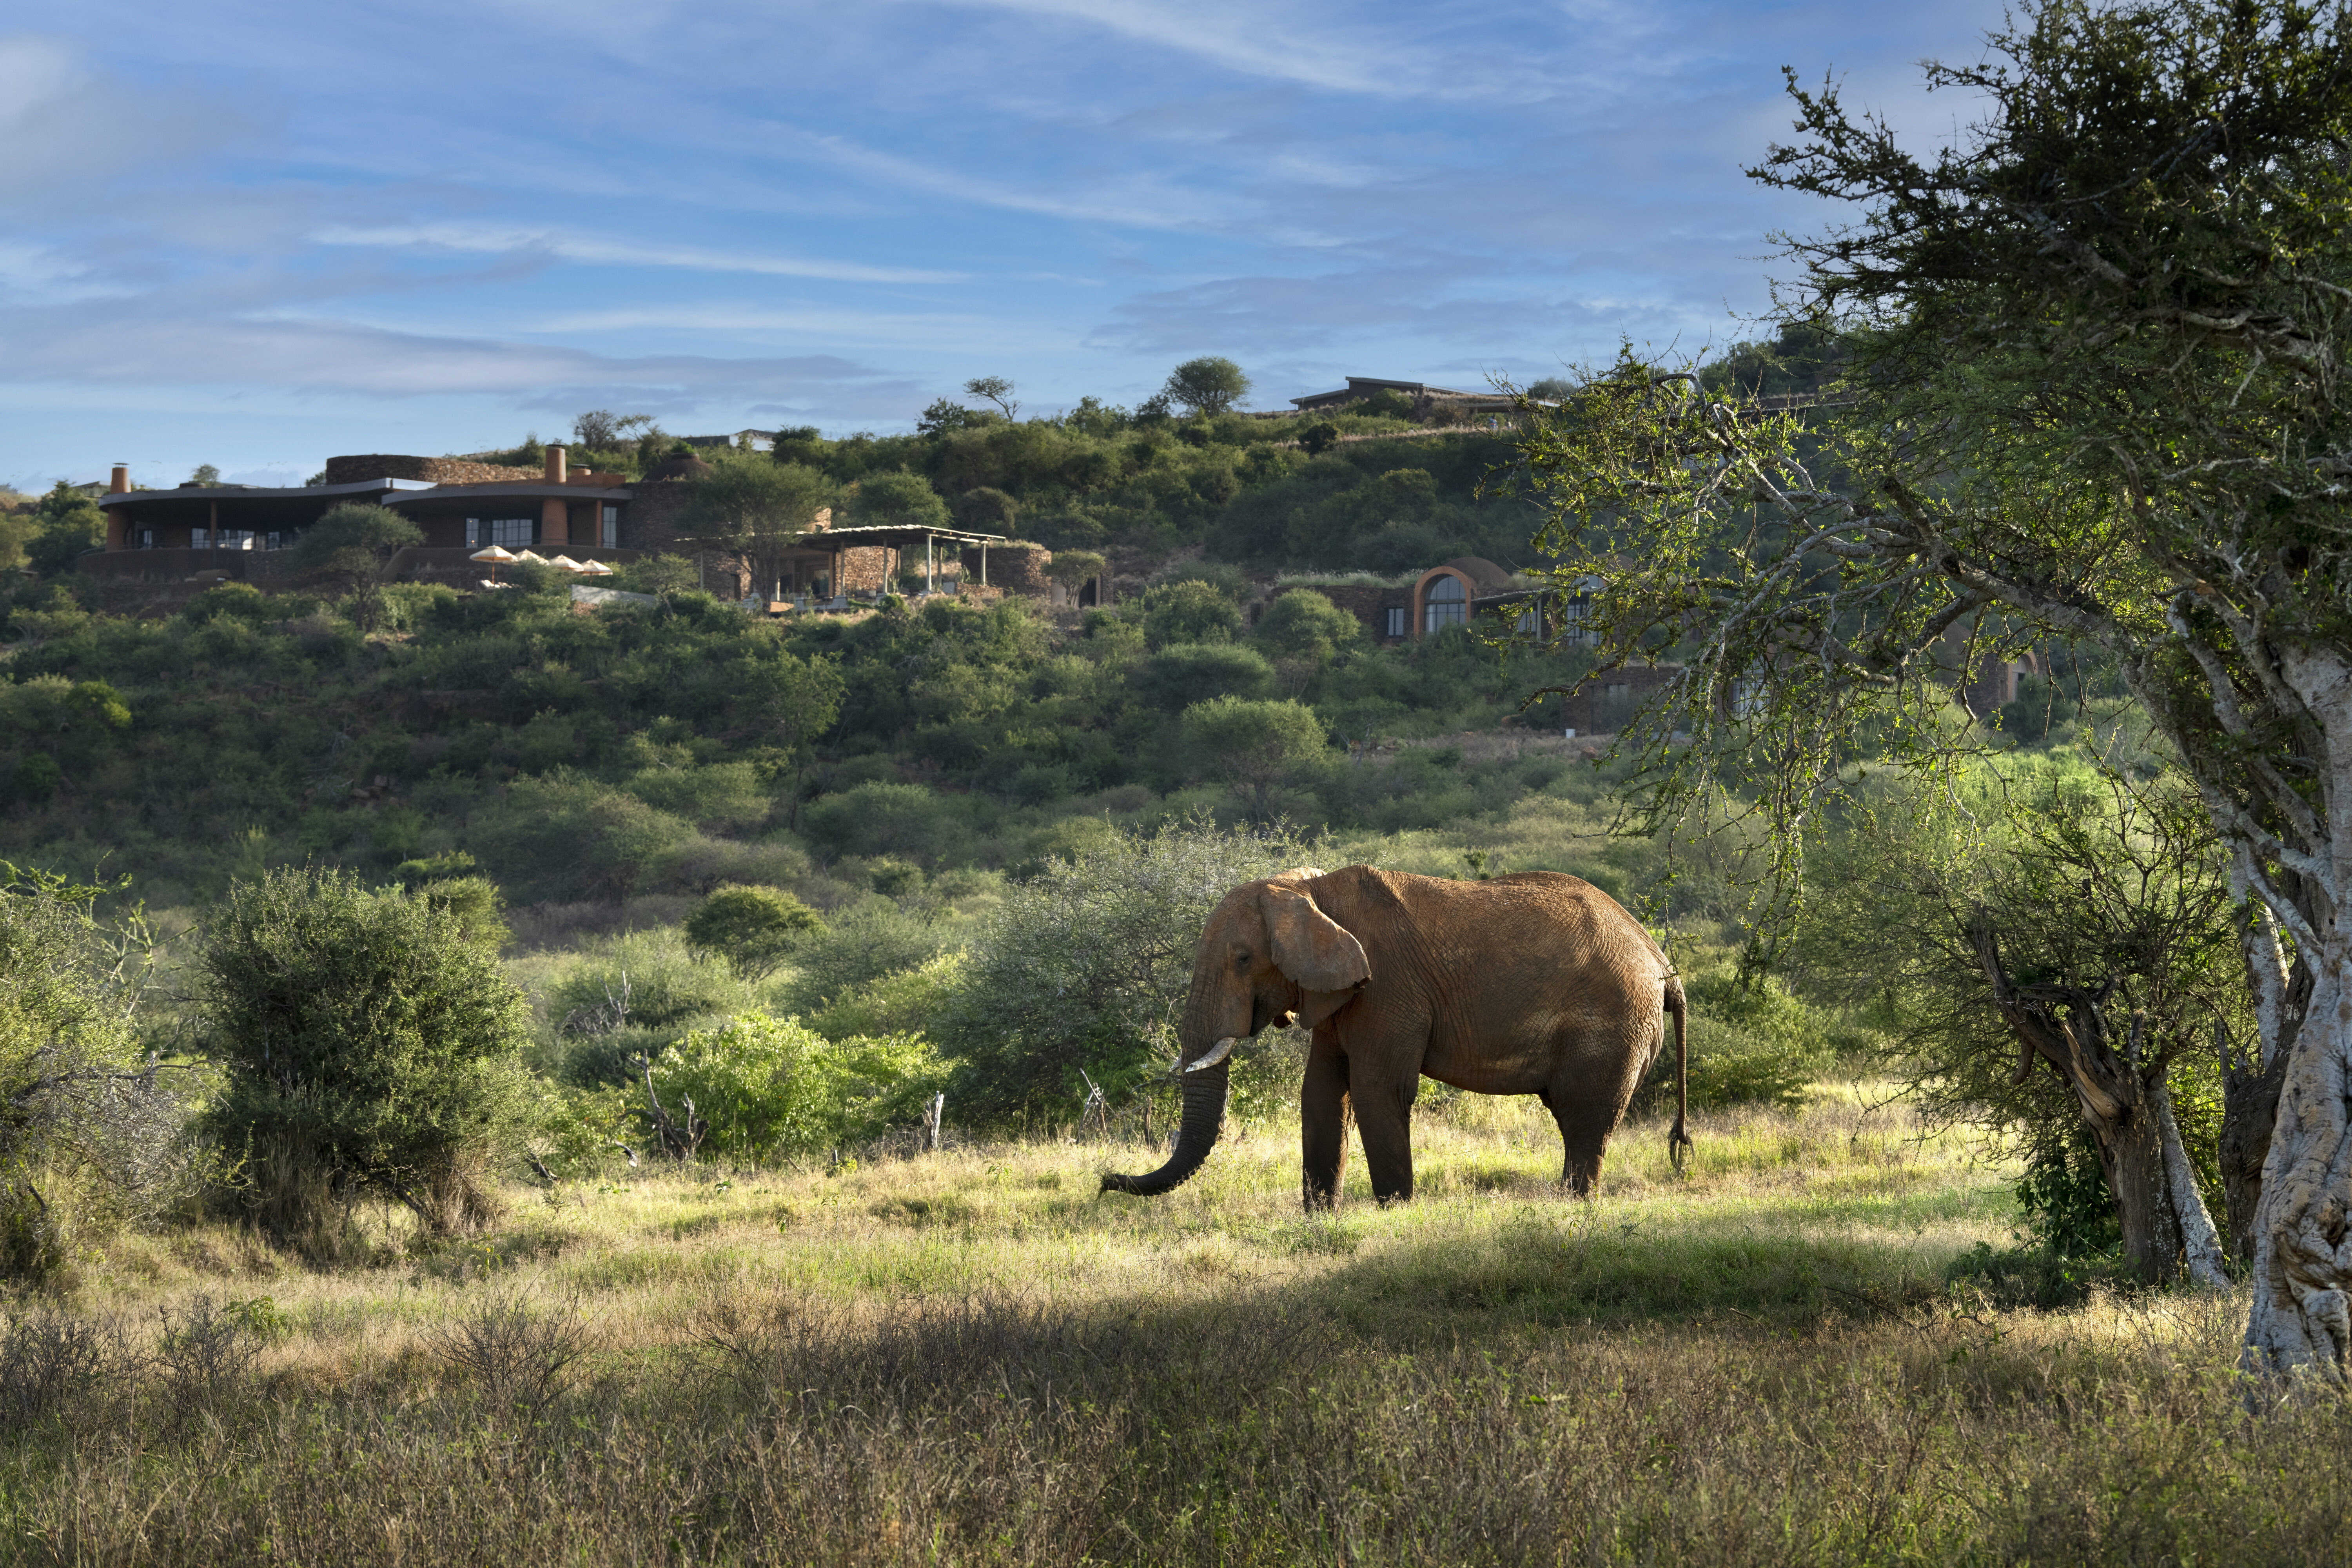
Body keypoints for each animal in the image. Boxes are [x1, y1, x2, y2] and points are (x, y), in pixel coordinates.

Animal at [1101, 865, 1689, 1208]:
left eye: (1244, 959)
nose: (1106, 1180)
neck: (1309, 890)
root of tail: (1663, 963)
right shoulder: (1340, 993)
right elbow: (1320, 1093)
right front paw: (1320, 1217)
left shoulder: (1388, 986)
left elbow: (1377, 1090)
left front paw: (1394, 1212)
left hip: (1614, 1022)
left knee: (1585, 1118)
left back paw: (1571, 1206)